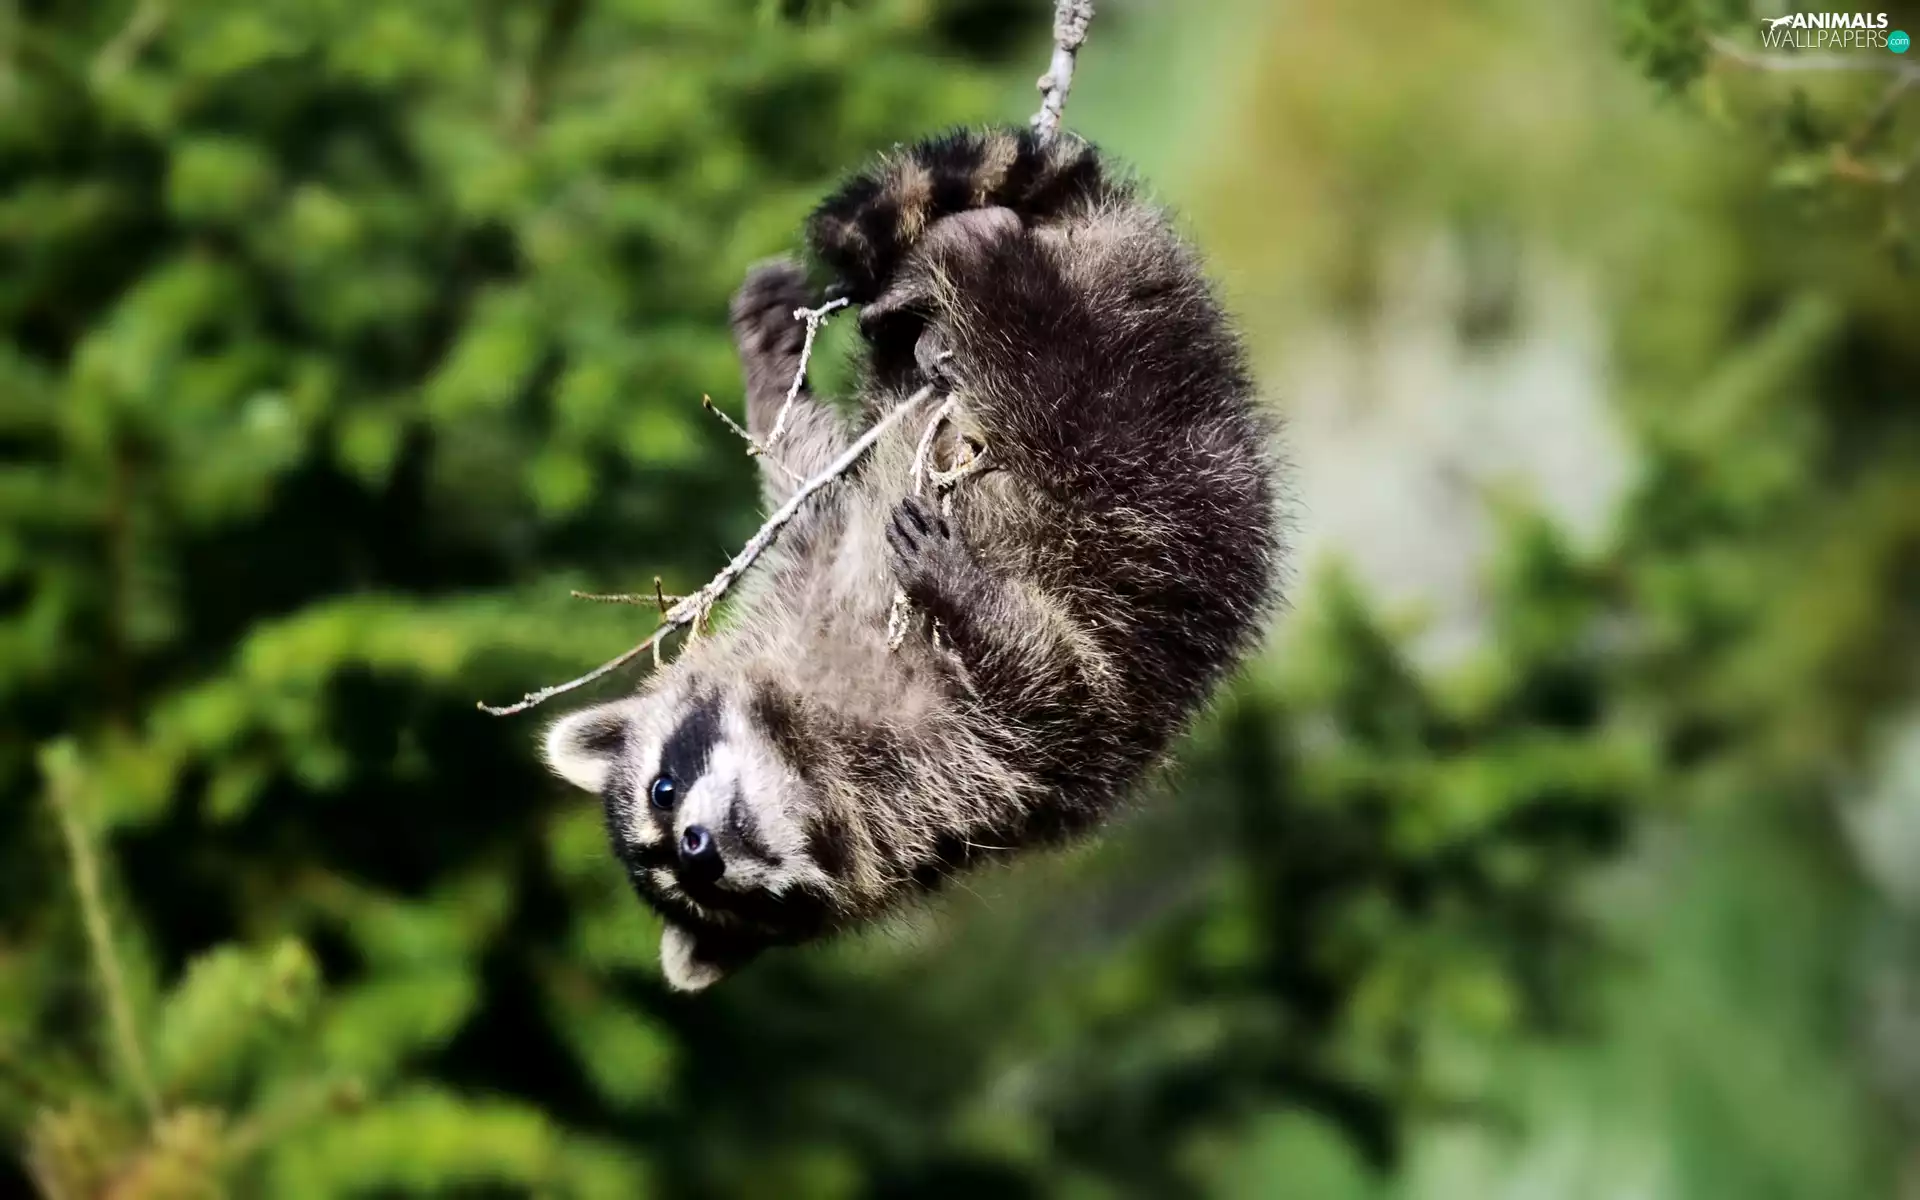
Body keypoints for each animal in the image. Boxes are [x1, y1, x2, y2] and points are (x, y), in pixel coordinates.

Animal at [543, 128, 1282, 991]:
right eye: (701, 892)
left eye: (663, 791)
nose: (698, 851)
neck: (801, 751)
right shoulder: (971, 791)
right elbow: (1053, 694)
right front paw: (976, 603)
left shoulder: (818, 573)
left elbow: (811, 480)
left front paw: (767, 367)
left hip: (1135, 413)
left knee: (1054, 382)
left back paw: (977, 255)